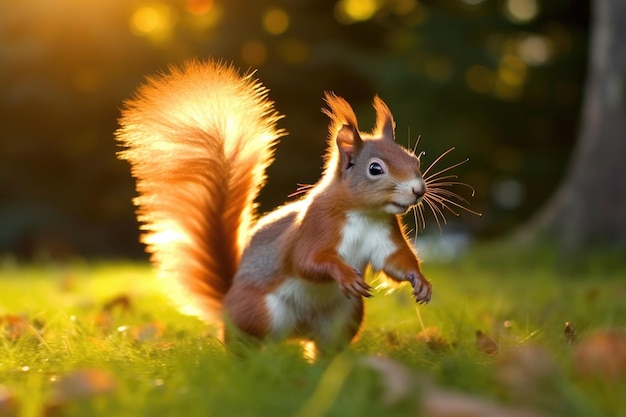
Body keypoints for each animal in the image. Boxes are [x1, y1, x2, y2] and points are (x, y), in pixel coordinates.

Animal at [114, 58, 432, 352]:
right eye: (375, 169)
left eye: (413, 158)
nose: (418, 190)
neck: (364, 214)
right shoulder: (316, 227)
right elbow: (308, 260)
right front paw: (343, 273)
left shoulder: (384, 236)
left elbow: (395, 262)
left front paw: (420, 282)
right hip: (259, 311)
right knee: (250, 348)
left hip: (344, 316)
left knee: (325, 349)